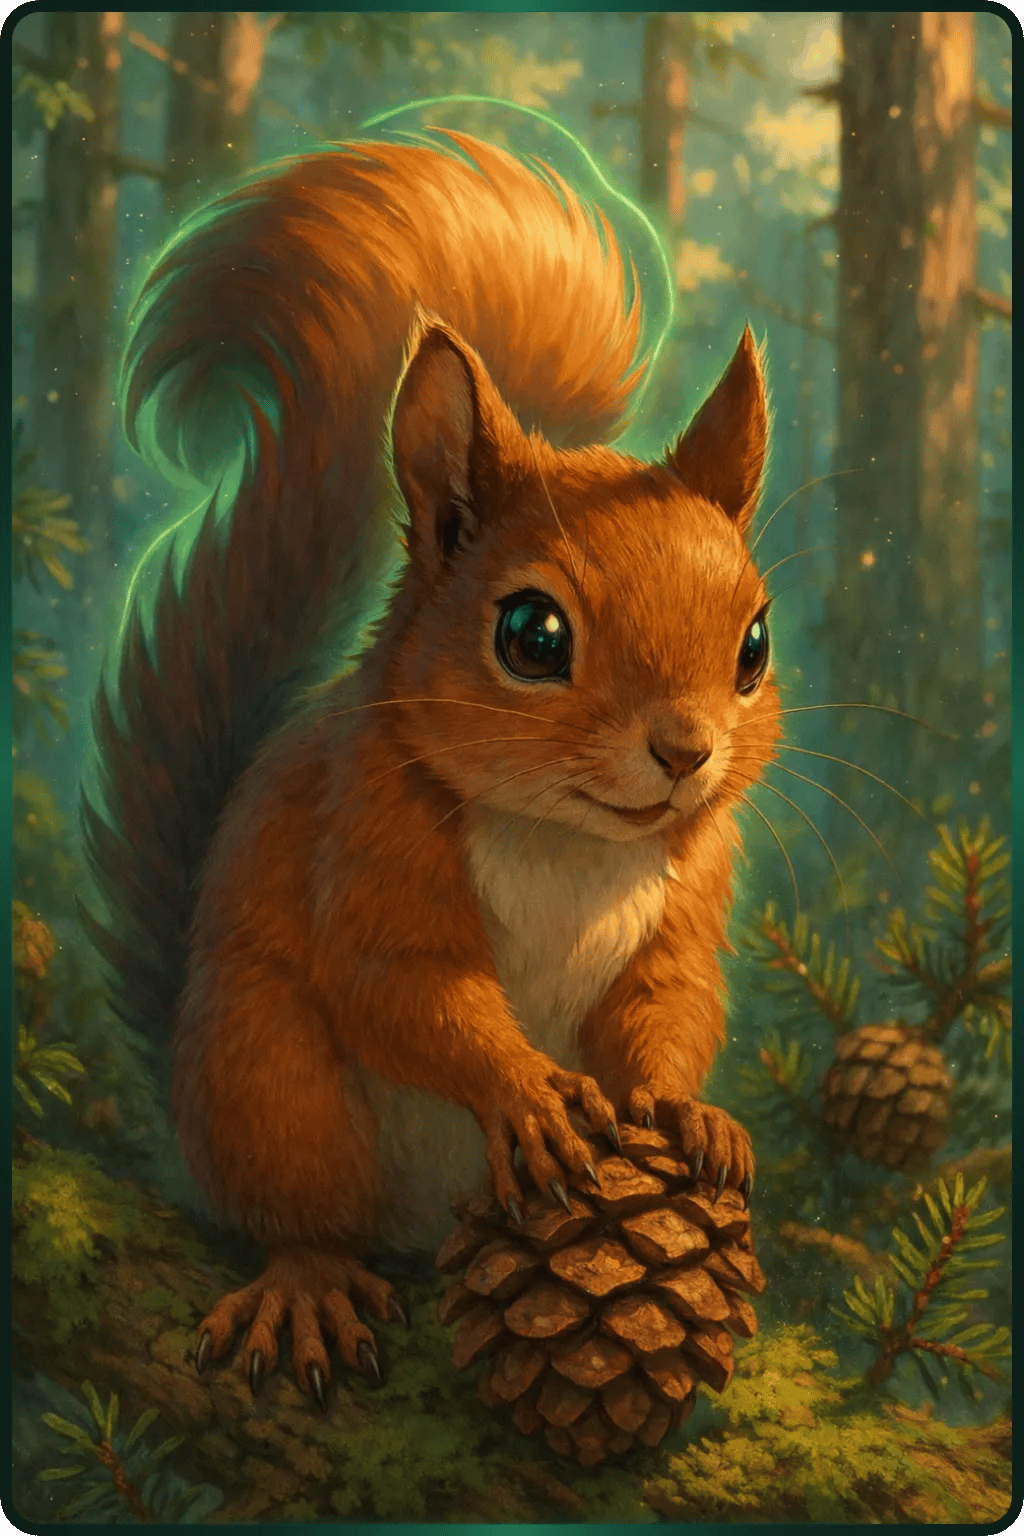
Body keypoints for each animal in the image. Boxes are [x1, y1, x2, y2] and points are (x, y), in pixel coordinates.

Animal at [85, 131, 779, 1405]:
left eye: (752, 645)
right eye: (531, 635)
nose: (684, 752)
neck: (567, 837)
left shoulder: (689, 892)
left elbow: (668, 999)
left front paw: (688, 1112)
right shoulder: (368, 836)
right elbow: (402, 987)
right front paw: (527, 1091)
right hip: (274, 1083)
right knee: (304, 1215)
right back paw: (309, 1286)